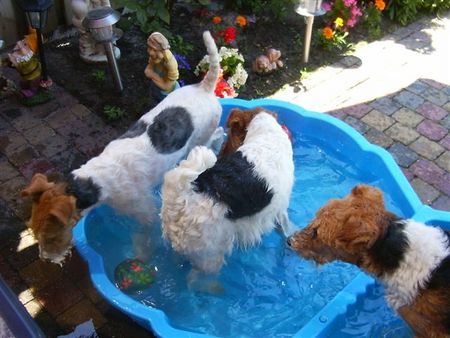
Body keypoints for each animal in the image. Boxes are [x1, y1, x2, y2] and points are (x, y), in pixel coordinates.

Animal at [21, 31, 223, 264]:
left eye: (52, 234)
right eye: (32, 228)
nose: (46, 258)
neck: (95, 181)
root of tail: (204, 87)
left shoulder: (146, 214)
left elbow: (143, 237)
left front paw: (143, 255)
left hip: (202, 137)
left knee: (217, 135)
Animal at [162, 108, 296, 286]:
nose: (221, 154)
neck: (267, 134)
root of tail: (180, 198)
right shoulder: (280, 208)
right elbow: (284, 227)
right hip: (209, 257)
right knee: (196, 279)